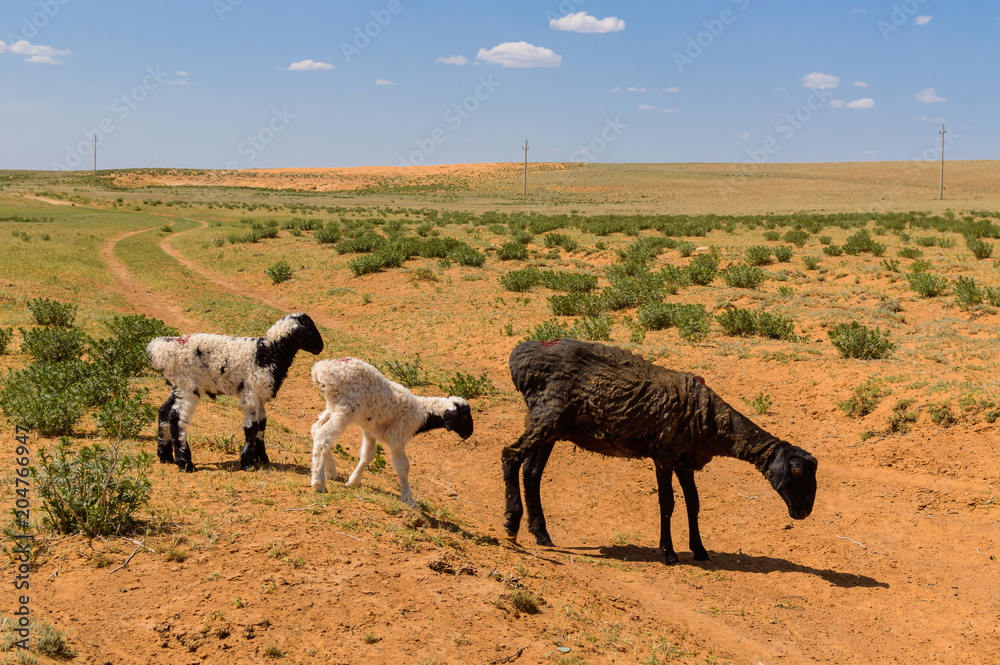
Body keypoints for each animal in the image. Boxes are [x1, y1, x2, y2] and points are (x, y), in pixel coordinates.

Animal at [147, 312, 324, 472]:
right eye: (309, 328)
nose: (320, 347)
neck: (266, 353)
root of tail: (159, 350)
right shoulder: (251, 394)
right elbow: (252, 427)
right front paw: (248, 464)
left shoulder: (259, 395)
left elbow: (262, 425)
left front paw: (262, 458)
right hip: (188, 386)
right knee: (177, 419)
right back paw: (185, 463)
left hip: (178, 386)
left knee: (164, 412)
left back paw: (165, 456)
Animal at [309, 357, 474, 505]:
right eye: (464, 416)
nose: (469, 433)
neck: (422, 413)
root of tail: (321, 369)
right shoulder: (397, 439)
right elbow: (403, 468)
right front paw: (409, 500)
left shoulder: (370, 431)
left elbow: (368, 456)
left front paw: (353, 481)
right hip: (346, 409)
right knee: (323, 436)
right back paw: (319, 483)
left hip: (333, 406)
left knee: (316, 430)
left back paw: (331, 471)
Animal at [504, 338, 817, 564]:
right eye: (796, 470)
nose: (803, 513)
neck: (714, 421)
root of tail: (519, 355)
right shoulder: (665, 455)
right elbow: (667, 503)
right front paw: (669, 553)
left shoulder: (685, 462)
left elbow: (694, 503)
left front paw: (699, 550)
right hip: (548, 415)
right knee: (511, 455)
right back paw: (511, 524)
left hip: (555, 427)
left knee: (532, 473)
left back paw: (541, 533)